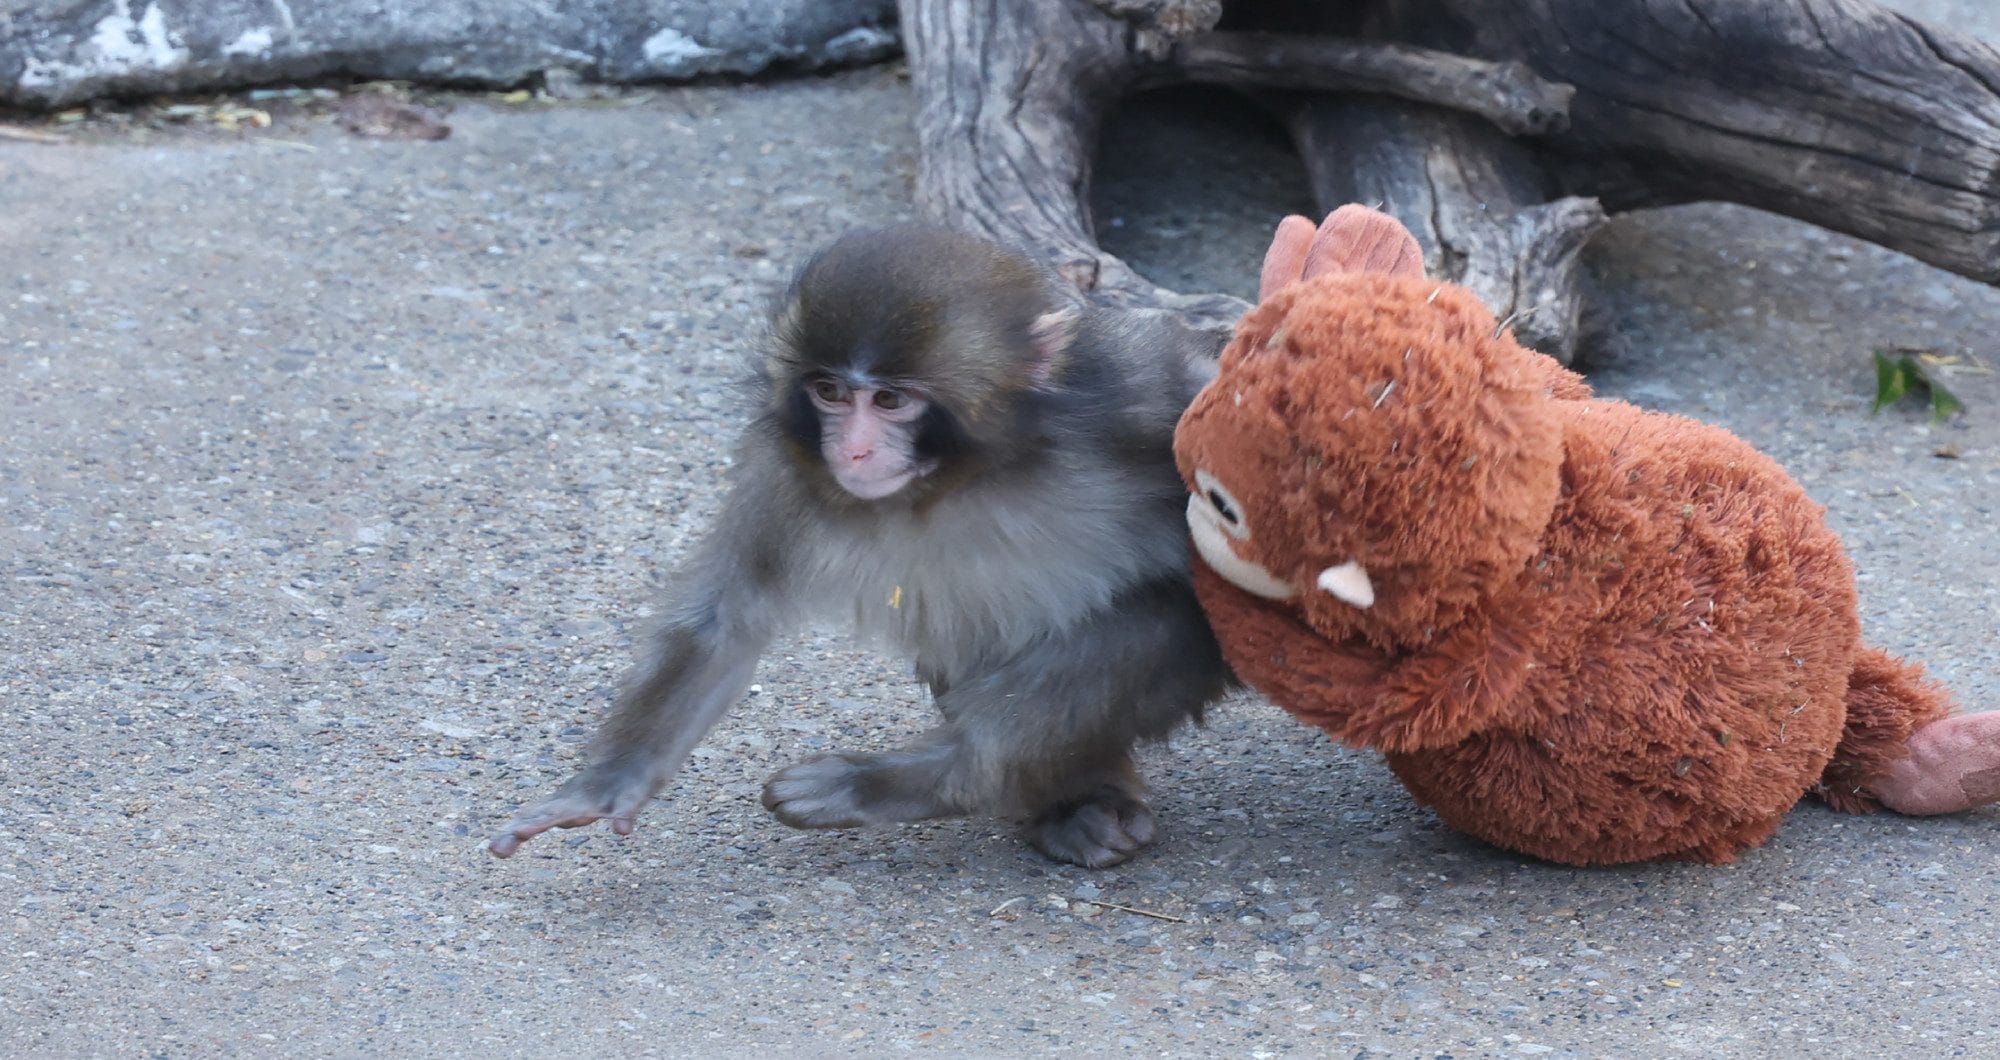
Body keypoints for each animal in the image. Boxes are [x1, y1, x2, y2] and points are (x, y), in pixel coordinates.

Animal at [487, 223, 1235, 868]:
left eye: (891, 401)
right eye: (829, 393)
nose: (851, 450)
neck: (963, 476)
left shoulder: (1138, 398)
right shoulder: (787, 469)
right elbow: (725, 619)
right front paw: (608, 782)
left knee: (1158, 619)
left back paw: (932, 777)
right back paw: (1071, 803)